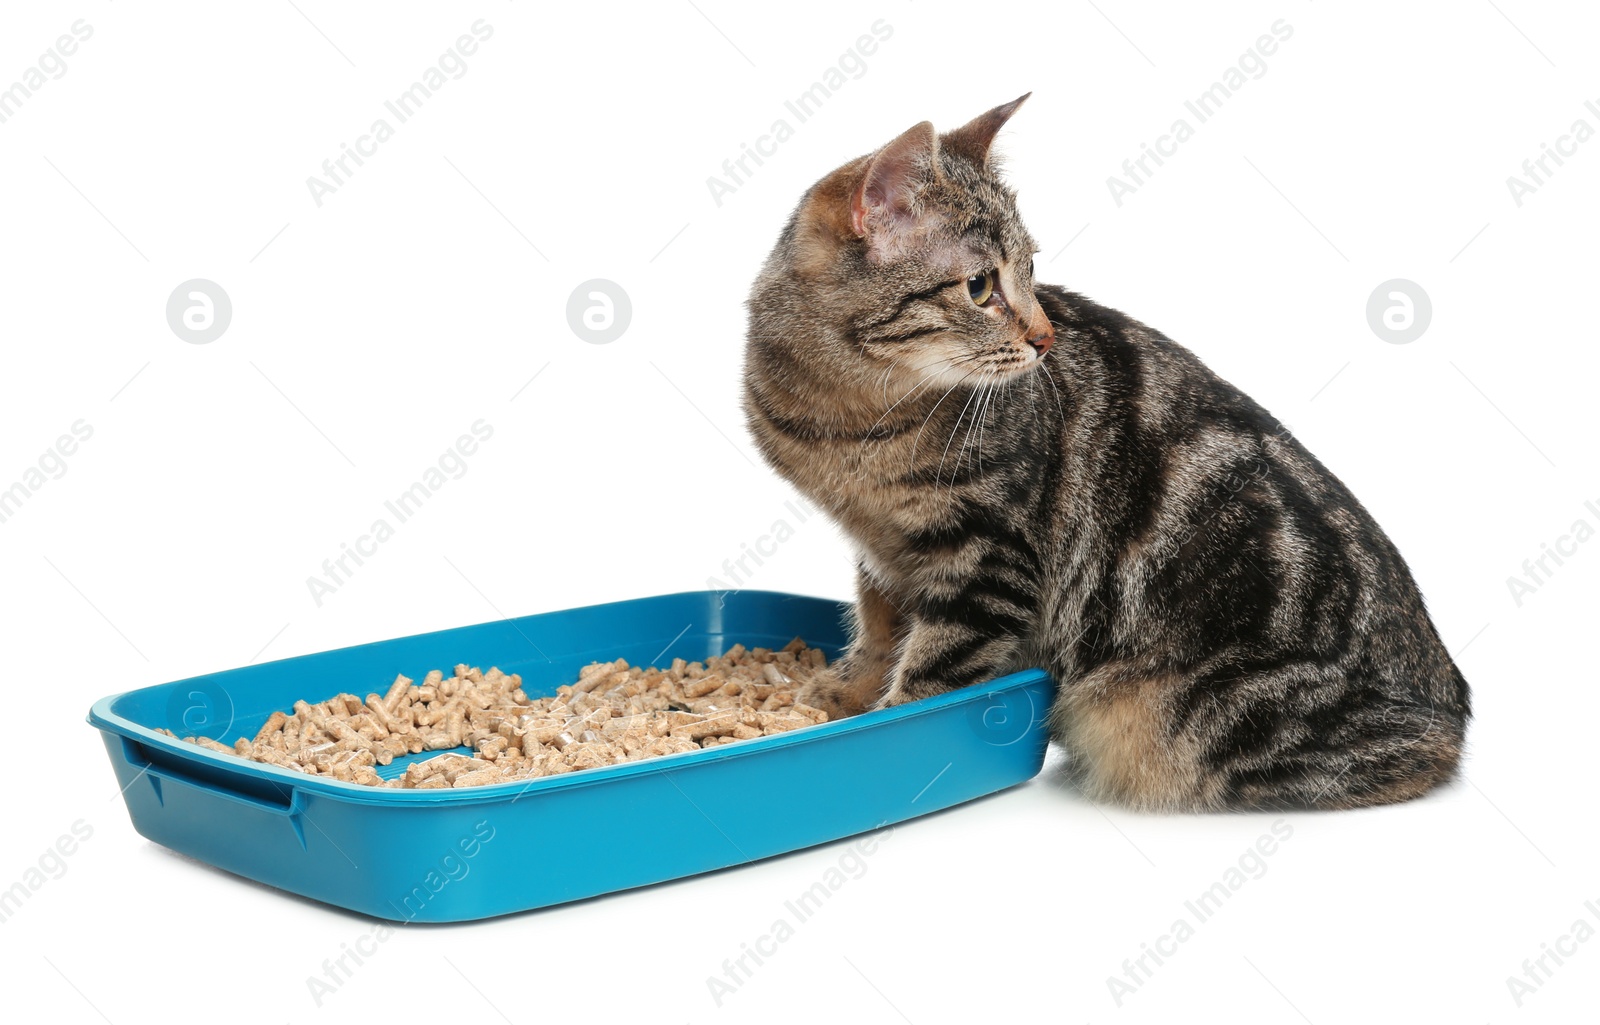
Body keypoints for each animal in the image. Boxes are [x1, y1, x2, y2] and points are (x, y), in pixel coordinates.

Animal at [742, 93, 1465, 805]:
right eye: (980, 287)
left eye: (1032, 272)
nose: (1045, 338)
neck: (845, 417)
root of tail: (1452, 715)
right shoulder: (880, 547)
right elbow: (878, 624)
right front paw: (845, 690)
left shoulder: (985, 559)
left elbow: (931, 674)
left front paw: (885, 728)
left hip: (1184, 712)